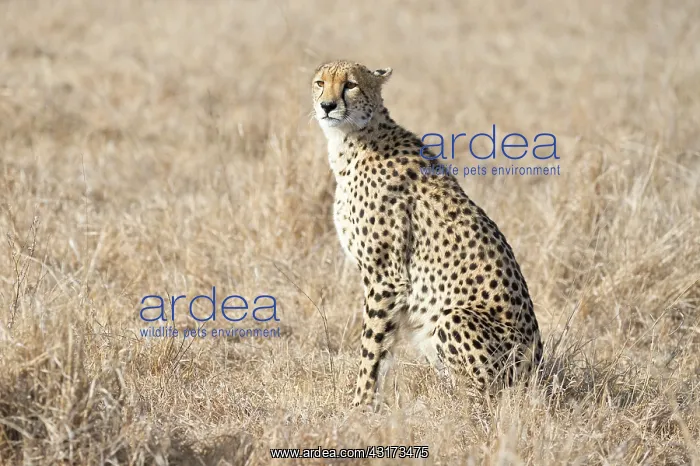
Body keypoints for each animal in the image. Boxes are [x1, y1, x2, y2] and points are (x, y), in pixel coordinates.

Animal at [311, 59, 543, 410]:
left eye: (350, 85)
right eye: (320, 83)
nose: (327, 106)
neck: (354, 138)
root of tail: (538, 369)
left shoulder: (387, 277)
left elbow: (371, 347)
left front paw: (359, 405)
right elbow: (383, 348)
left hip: (452, 317)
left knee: (484, 397)